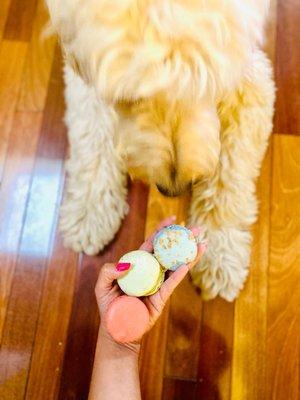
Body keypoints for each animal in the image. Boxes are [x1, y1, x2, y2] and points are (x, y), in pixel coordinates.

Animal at [45, 0, 274, 300]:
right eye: (129, 96)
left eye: (203, 86)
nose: (173, 190)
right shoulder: (87, 73)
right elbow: (91, 135)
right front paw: (89, 210)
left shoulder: (251, 78)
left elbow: (230, 176)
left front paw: (220, 252)